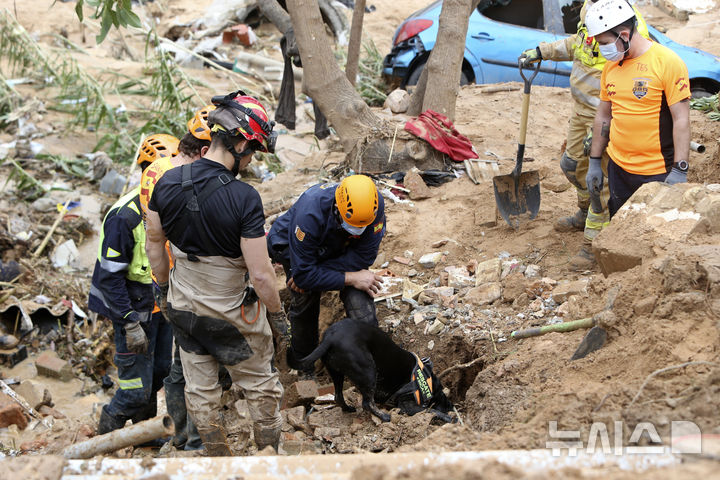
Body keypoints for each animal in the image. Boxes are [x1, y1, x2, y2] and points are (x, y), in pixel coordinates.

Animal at [300, 320, 452, 422]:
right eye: (442, 395)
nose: (451, 406)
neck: (427, 379)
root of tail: (329, 338)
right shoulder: (407, 405)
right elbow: (431, 410)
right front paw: (449, 418)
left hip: (336, 373)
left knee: (338, 396)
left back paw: (348, 409)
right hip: (368, 370)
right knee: (367, 403)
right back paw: (384, 416)